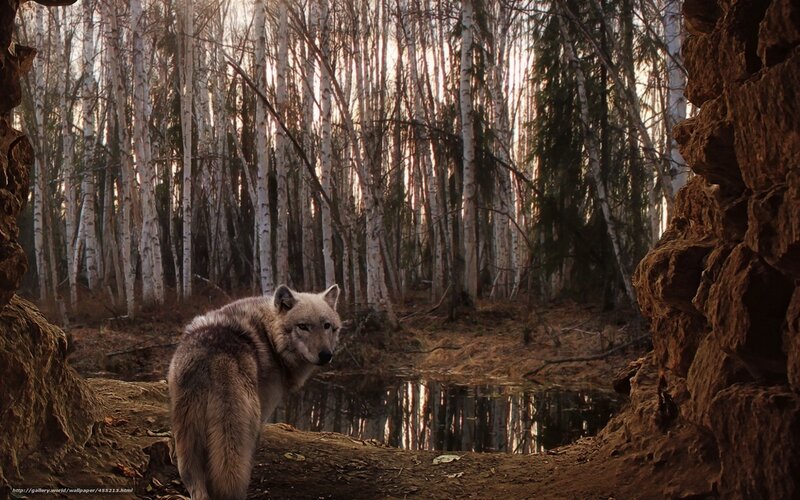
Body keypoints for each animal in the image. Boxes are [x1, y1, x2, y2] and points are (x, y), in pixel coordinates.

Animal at [167, 284, 342, 500]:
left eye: (326, 325)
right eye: (303, 326)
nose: (326, 355)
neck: (270, 336)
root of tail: (214, 356)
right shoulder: (263, 416)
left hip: (187, 440)